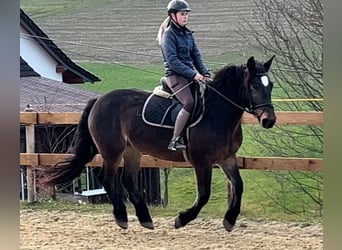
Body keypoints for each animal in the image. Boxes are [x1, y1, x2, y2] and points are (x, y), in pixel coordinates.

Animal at [40, 55, 276, 231]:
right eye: (255, 85)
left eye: (270, 85)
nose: (269, 120)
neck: (217, 113)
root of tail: (99, 100)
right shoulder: (202, 161)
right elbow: (204, 194)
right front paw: (182, 219)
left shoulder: (227, 158)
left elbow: (238, 185)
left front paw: (229, 220)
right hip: (112, 151)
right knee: (106, 178)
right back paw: (122, 217)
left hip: (132, 151)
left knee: (128, 180)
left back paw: (145, 218)